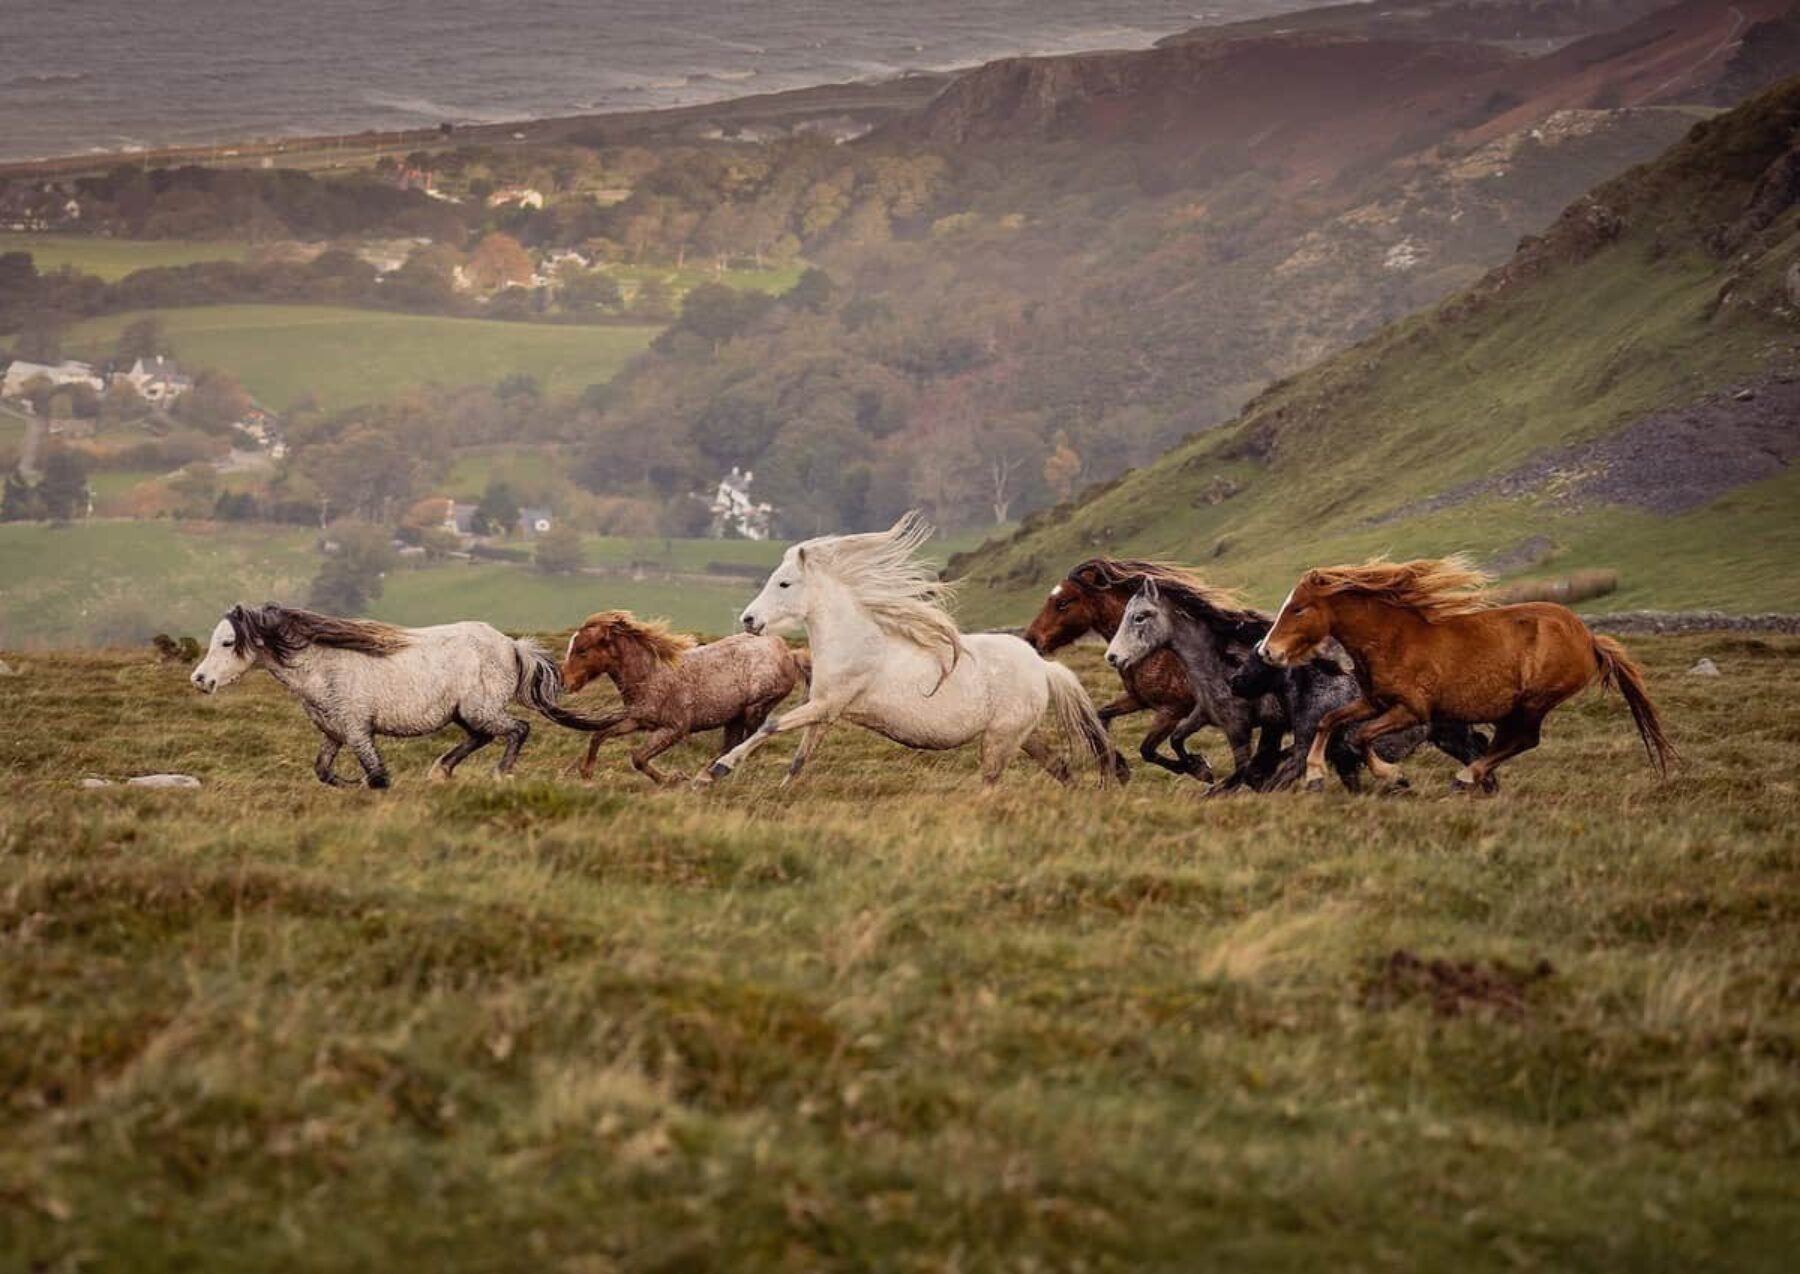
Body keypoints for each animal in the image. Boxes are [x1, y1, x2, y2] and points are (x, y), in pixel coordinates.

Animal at [192, 601, 597, 784]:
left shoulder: (357, 731)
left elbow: (377, 776)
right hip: (464, 714)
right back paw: (441, 770)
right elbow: (323, 771)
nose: (200, 679)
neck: (322, 667)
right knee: (481, 737)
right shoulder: (334, 734)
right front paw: (349, 784)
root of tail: (512, 646)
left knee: (517, 730)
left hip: (480, 710)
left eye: (227, 642)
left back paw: (499, 773)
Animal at [691, 511, 1123, 791]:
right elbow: (800, 758)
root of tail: (1043, 668)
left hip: (999, 740)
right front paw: (779, 791)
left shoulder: (828, 705)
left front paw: (713, 771)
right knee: (1059, 767)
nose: (749, 620)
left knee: (992, 782)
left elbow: (771, 726)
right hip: (1021, 735)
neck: (855, 643)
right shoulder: (824, 711)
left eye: (784, 583)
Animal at [1022, 561, 1216, 780]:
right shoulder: (1138, 700)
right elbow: (1100, 717)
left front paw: (1199, 767)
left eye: (1062, 603)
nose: (1030, 639)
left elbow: (1148, 749)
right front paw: (1119, 765)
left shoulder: (1172, 710)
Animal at [1252, 554, 1670, 791]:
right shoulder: (1374, 701)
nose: (1267, 651)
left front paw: (1393, 775)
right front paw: (1315, 773)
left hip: (1534, 702)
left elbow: (1361, 737)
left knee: (1522, 741)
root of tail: (1589, 637)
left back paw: (1466, 777)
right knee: (1505, 742)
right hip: (1514, 708)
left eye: (1299, 608)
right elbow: (1329, 721)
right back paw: (1474, 778)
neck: (1393, 639)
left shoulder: (1412, 711)